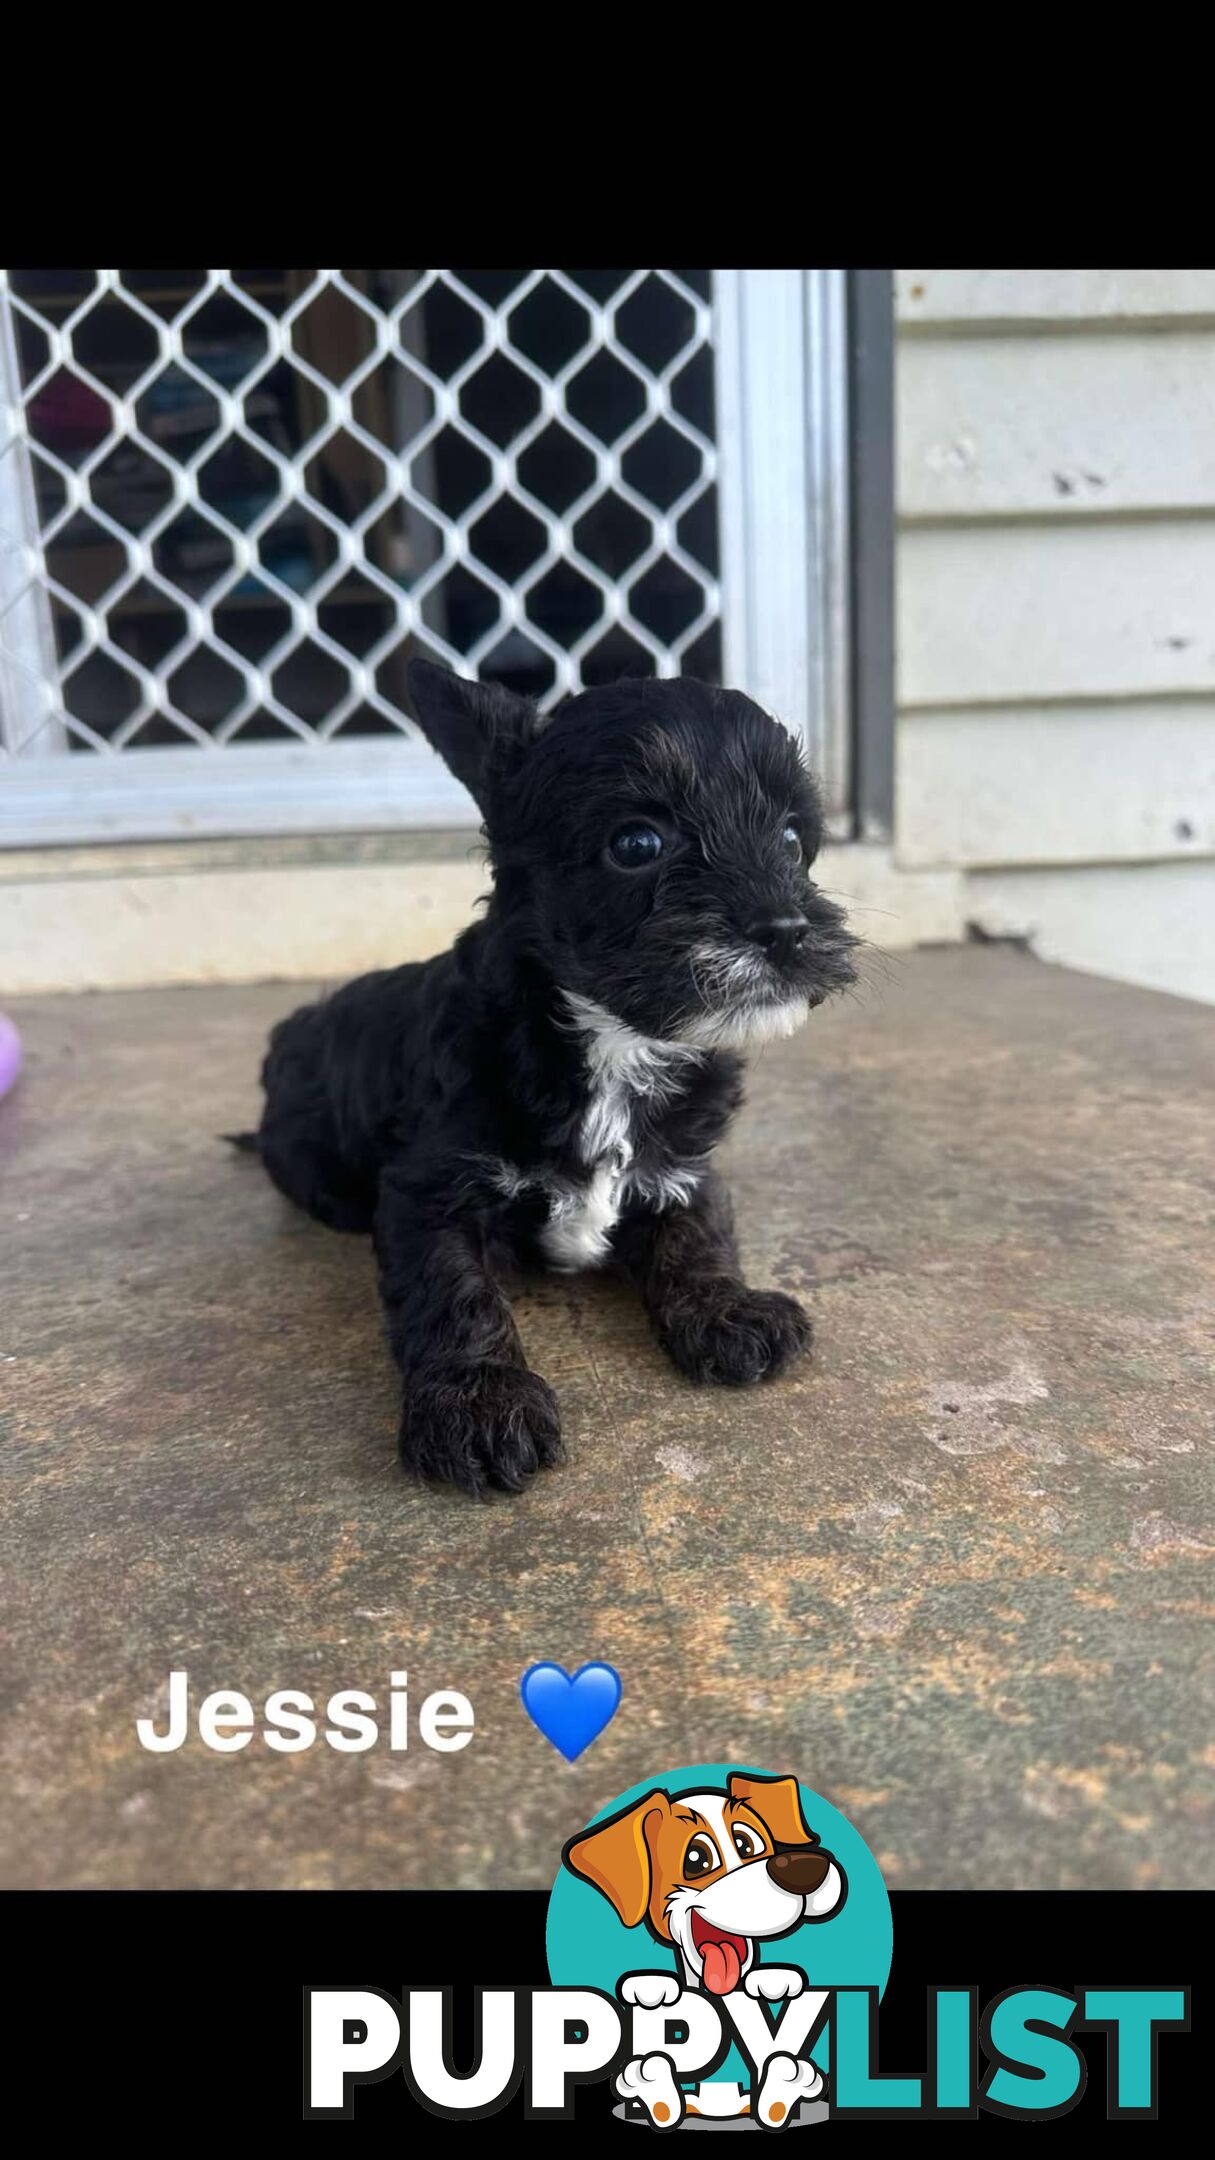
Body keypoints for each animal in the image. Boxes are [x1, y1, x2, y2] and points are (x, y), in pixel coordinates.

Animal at [234, 665, 851, 1494]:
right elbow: (453, 1290)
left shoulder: (685, 1167)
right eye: (637, 843)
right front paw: (478, 1405)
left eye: (790, 837)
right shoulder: (427, 1188)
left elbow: (699, 1236)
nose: (786, 930)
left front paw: (728, 1311)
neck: (612, 1046)